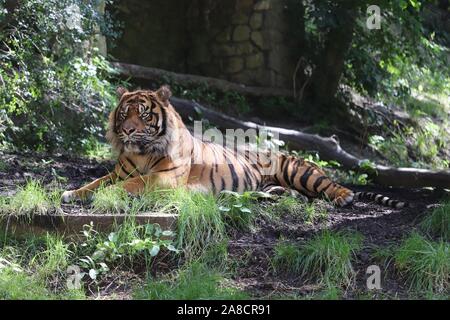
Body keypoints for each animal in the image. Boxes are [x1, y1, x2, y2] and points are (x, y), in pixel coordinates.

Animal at [62, 85, 408, 210]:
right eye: (124, 113)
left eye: (144, 113)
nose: (128, 130)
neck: (143, 151)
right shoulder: (118, 172)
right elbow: (95, 182)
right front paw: (71, 193)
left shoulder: (164, 178)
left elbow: (131, 185)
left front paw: (107, 196)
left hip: (299, 170)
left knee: (329, 186)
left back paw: (343, 197)